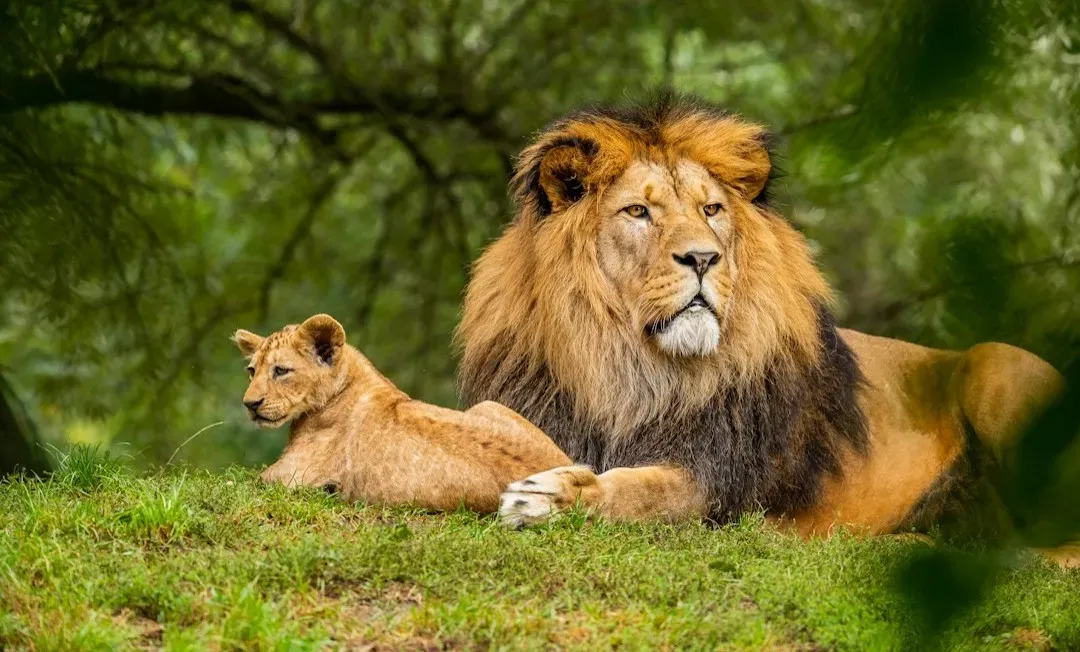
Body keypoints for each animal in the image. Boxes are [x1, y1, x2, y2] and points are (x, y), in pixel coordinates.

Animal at [232, 313, 570, 511]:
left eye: (281, 370)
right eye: (251, 371)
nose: (250, 404)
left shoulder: (290, 475)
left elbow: (242, 482)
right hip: (488, 404)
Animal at [456, 93, 1070, 559]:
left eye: (711, 210)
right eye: (638, 212)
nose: (703, 258)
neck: (629, 368)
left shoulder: (716, 482)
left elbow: (639, 491)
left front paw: (551, 498)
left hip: (997, 364)